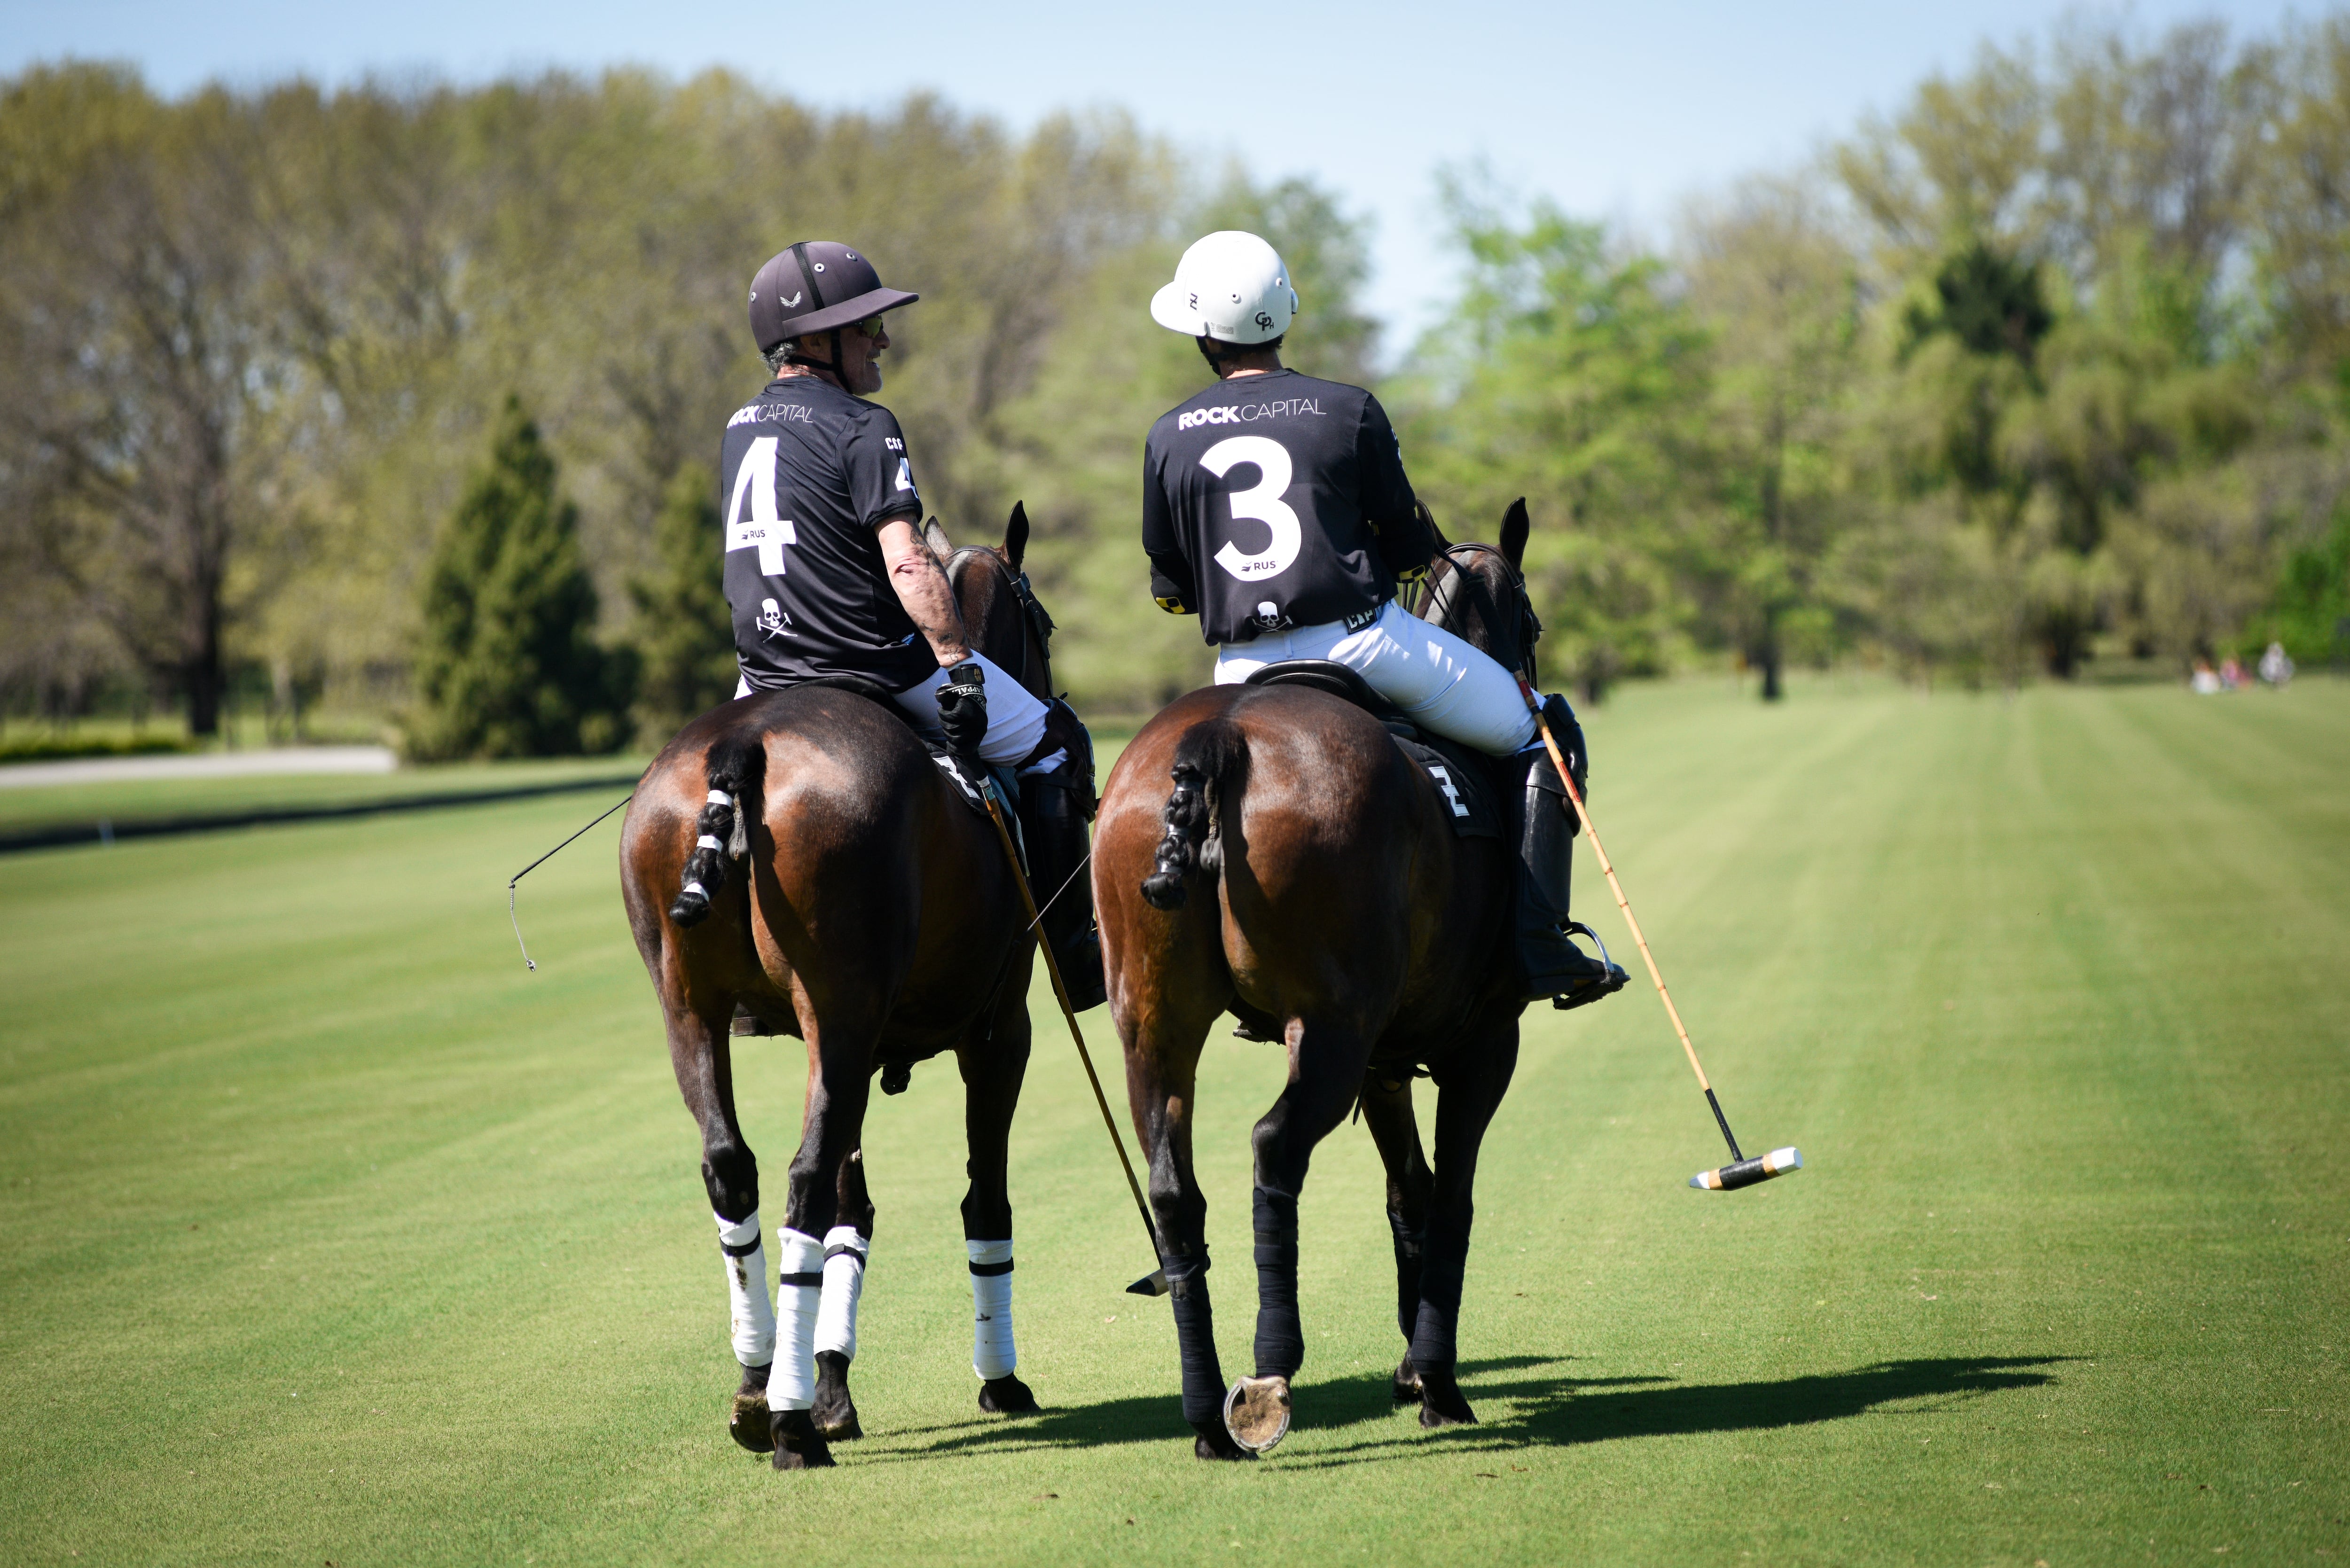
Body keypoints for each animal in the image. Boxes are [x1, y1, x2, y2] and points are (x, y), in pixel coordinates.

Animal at [625, 503, 1100, 1476]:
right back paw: (790, 1427)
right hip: (843, 1004)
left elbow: (856, 1208)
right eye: (1042, 623)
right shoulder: (1001, 1029)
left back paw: (757, 1387)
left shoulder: (853, 1037)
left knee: (732, 1167)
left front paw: (833, 1384)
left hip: (698, 1007)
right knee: (802, 1179)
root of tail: (742, 745)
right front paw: (998, 1378)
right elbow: (983, 1195)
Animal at [1086, 503, 1570, 1457]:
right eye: (1531, 622)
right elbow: (1451, 1199)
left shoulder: (1387, 1059)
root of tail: (1220, 736)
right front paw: (1439, 1384)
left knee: (1173, 1188)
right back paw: (1271, 1374)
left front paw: (1416, 1369)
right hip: (1333, 1025)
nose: (1529, 674)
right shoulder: (1484, 1042)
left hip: (1155, 1020)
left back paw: (1206, 1413)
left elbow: (1409, 1193)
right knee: (1276, 1146)